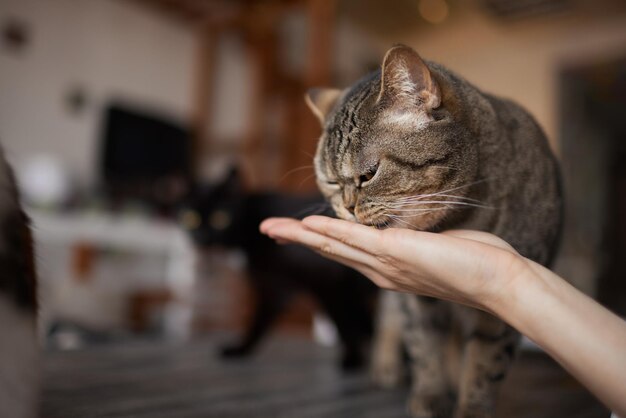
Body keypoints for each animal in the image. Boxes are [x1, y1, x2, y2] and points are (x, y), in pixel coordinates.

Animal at [180, 168, 376, 370]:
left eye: (220, 218)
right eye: (190, 218)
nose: (202, 237)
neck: (248, 224)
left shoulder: (330, 284)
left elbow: (347, 325)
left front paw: (352, 360)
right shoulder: (275, 286)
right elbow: (259, 322)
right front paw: (241, 349)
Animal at [304, 45, 560, 418]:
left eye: (369, 174)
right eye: (332, 183)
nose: (347, 208)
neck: (459, 219)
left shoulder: (501, 315)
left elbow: (485, 363)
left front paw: (472, 407)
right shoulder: (416, 303)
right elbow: (424, 347)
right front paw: (430, 397)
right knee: (389, 318)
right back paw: (387, 366)